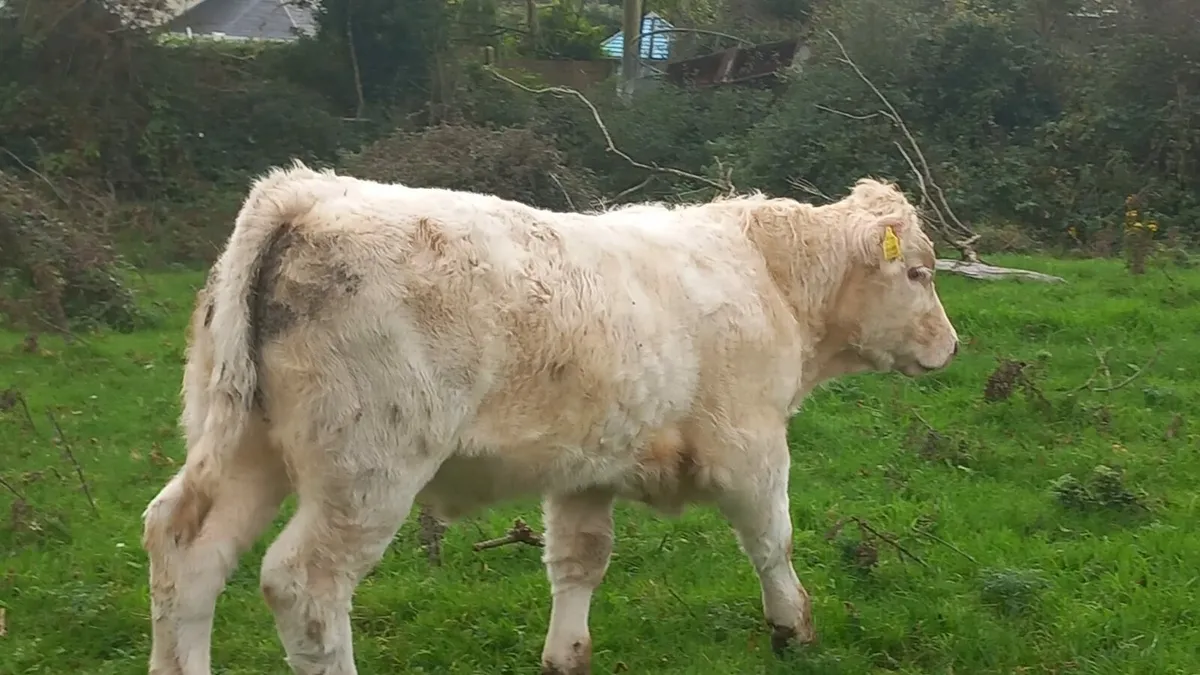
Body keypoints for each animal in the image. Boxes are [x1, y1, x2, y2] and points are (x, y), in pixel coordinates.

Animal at [141, 160, 960, 675]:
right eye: (920, 273)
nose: (951, 345)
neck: (769, 277)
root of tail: (306, 193)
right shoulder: (750, 446)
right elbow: (773, 541)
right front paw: (793, 627)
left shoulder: (586, 465)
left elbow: (579, 558)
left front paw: (566, 654)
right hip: (365, 469)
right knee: (303, 584)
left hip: (245, 446)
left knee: (184, 549)